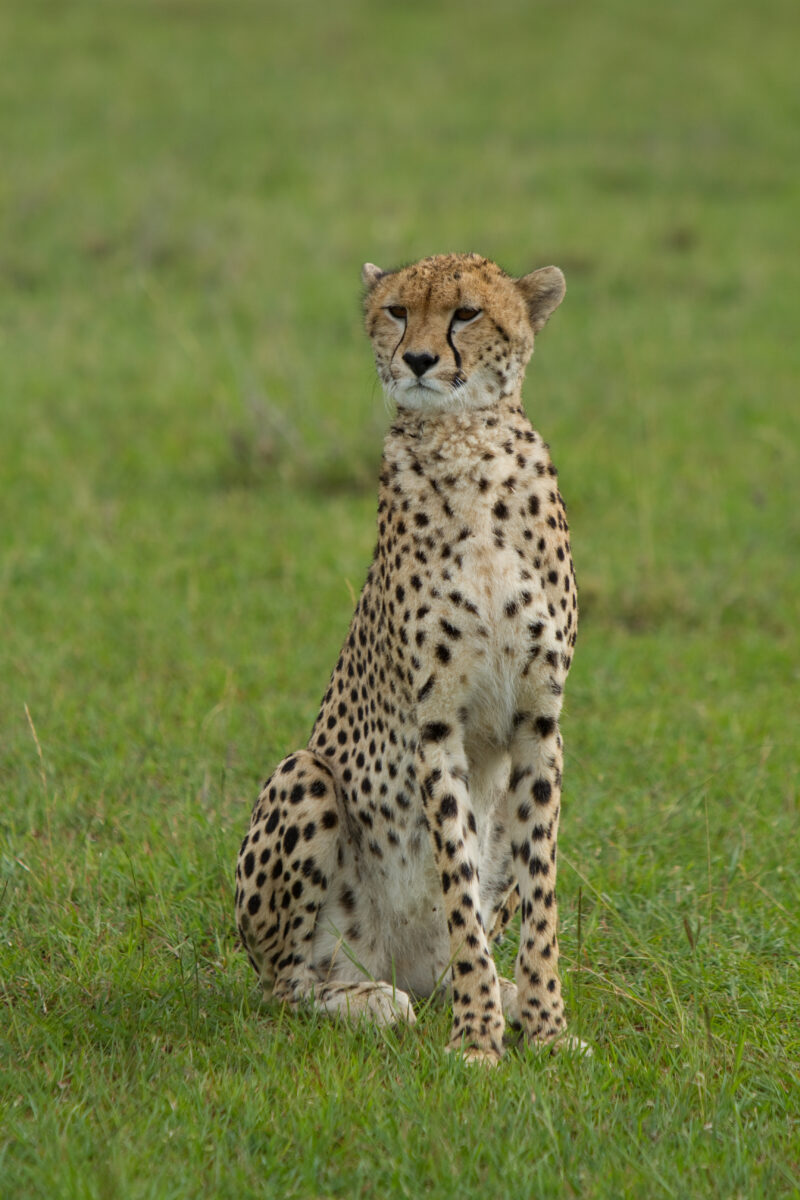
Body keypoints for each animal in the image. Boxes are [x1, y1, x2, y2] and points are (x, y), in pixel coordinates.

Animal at [235, 251, 580, 1063]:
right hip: (305, 777)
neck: (466, 446)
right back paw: (371, 999)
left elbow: (540, 887)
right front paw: (478, 1039)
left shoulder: (539, 722)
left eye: (466, 313)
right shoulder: (436, 724)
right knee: (288, 986)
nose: (419, 359)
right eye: (396, 310)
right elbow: (456, 874)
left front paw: (546, 1027)